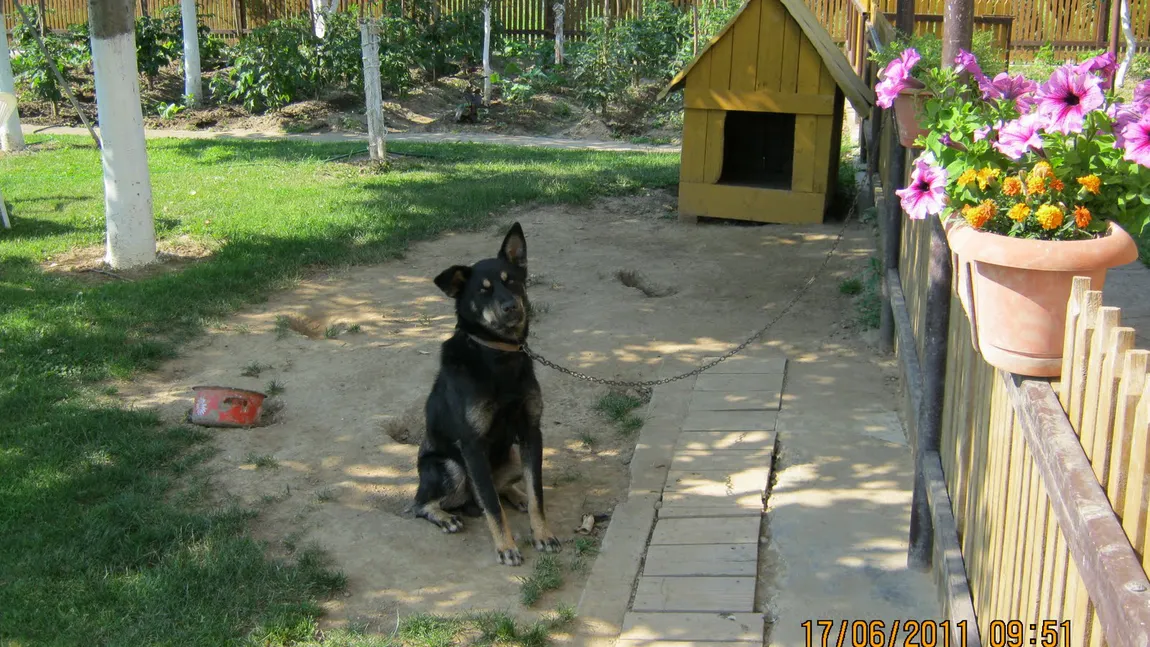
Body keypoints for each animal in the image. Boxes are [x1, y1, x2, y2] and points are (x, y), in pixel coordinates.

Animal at [414, 220, 561, 565]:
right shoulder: (472, 445)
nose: (512, 307)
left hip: (511, 456)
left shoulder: (531, 432)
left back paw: (516, 496)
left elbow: (537, 494)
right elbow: (493, 507)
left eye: (513, 281)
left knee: (496, 489)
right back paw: (445, 517)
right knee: (422, 504)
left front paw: (542, 534)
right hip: (451, 467)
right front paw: (506, 547)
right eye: (483, 290)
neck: (498, 356)